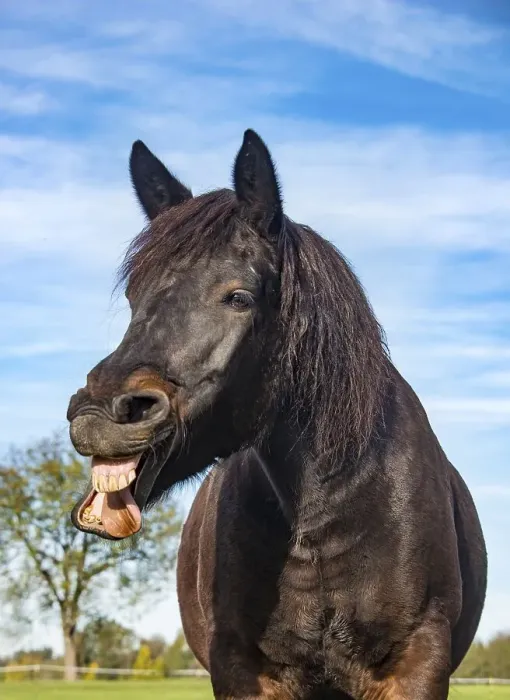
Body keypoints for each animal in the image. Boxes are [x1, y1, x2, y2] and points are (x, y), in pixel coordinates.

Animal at [67, 129, 487, 699]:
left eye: (239, 297)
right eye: (134, 297)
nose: (99, 415)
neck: (328, 516)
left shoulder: (416, 665)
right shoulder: (243, 670)